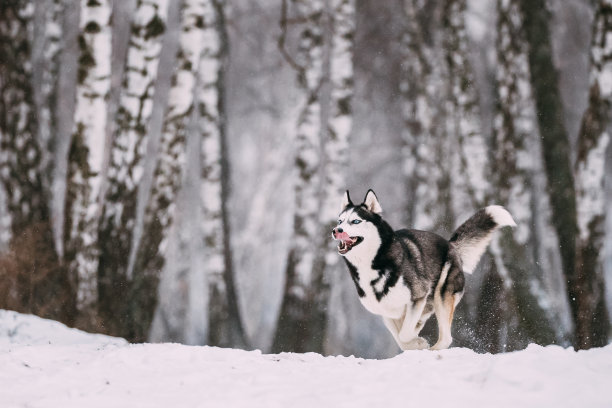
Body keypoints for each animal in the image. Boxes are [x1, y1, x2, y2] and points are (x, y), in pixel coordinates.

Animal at [332, 190, 512, 350]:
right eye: (340, 221)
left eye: (356, 221)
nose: (336, 231)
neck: (374, 263)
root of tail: (451, 245)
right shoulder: (387, 312)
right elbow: (401, 338)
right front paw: (415, 342)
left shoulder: (417, 297)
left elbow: (405, 334)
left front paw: (419, 342)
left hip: (442, 295)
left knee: (446, 338)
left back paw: (432, 349)